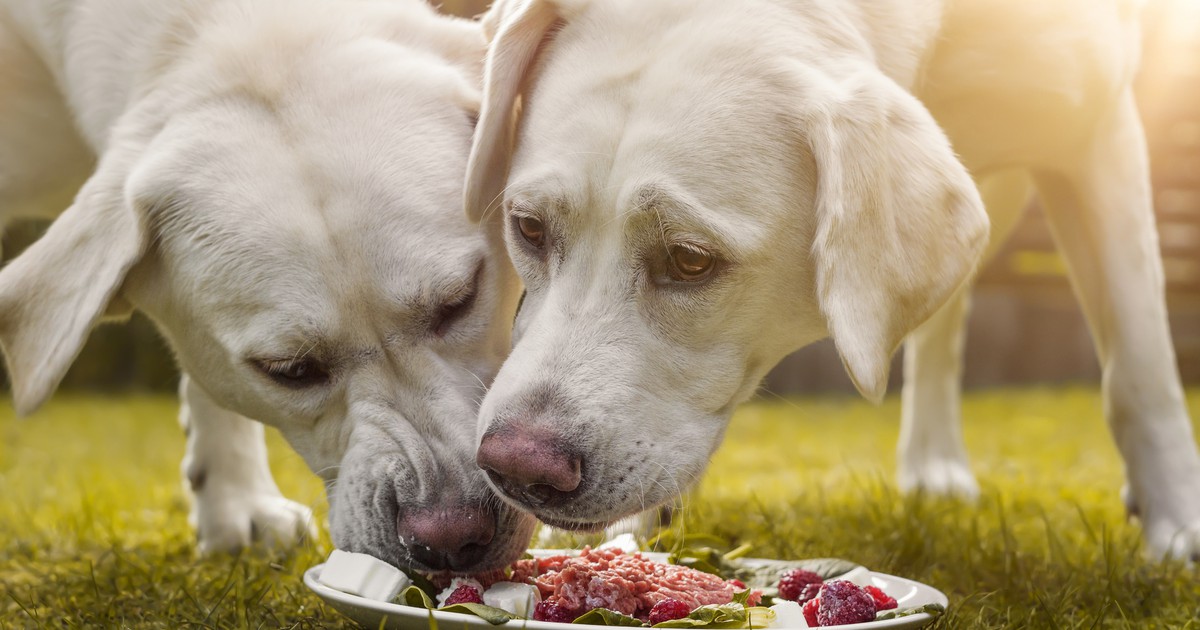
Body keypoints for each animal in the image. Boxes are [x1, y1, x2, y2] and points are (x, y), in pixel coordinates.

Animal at [465, 0, 1200, 556]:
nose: (516, 466)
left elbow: (1139, 362)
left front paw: (1178, 525)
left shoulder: (1099, 129)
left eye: (690, 260)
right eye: (529, 228)